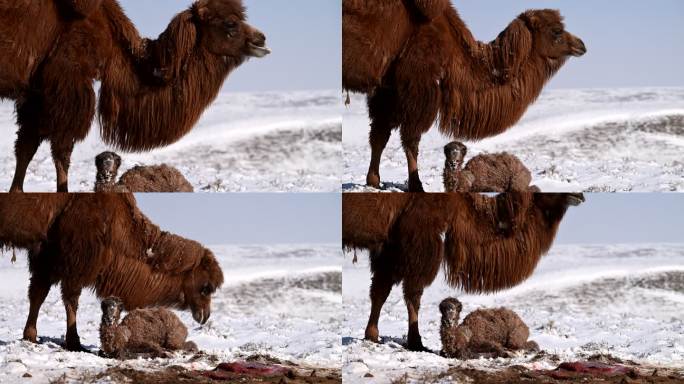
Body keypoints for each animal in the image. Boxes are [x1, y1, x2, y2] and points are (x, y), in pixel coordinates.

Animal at [0, 0, 272, 192]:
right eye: (230, 23)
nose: (261, 39)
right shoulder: (67, 84)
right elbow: (61, 151)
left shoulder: (36, 94)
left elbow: (26, 147)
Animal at [0, 195, 223, 352]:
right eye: (206, 287)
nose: (205, 314)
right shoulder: (74, 263)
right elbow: (71, 300)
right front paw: (74, 342)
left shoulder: (47, 258)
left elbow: (38, 293)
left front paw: (30, 336)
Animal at [342, 0, 588, 192]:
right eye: (556, 31)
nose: (581, 45)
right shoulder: (418, 85)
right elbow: (411, 139)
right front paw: (416, 185)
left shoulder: (388, 89)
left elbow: (379, 135)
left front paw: (373, 181)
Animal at [342, 194, 584, 352]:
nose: (579, 195)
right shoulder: (419, 239)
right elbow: (412, 294)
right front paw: (416, 342)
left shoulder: (390, 246)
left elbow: (380, 291)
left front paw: (372, 336)